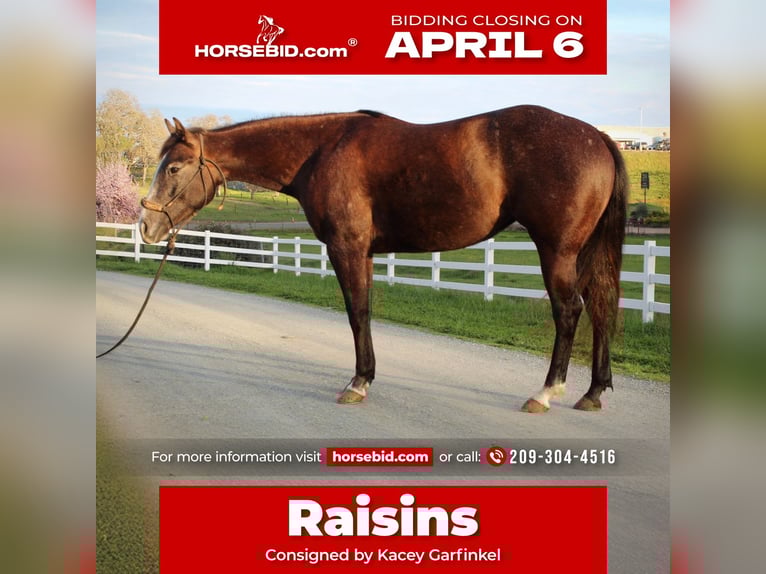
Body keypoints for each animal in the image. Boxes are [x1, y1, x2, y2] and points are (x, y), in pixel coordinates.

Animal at [139, 106, 628, 413]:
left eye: (174, 168)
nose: (146, 227)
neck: (320, 150)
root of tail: (598, 137)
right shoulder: (366, 252)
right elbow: (366, 310)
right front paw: (366, 377)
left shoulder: (347, 247)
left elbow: (357, 311)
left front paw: (358, 383)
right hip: (583, 252)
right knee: (601, 306)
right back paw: (593, 393)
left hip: (557, 251)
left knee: (569, 311)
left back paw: (545, 393)